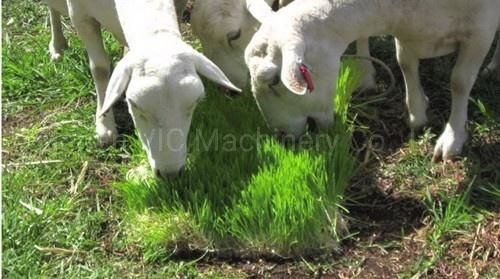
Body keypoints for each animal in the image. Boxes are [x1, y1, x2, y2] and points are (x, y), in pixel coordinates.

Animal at [244, 0, 498, 162]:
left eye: (274, 82)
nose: (282, 137)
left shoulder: (481, 31)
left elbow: (459, 82)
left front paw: (452, 139)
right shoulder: (408, 32)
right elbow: (405, 64)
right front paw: (417, 114)